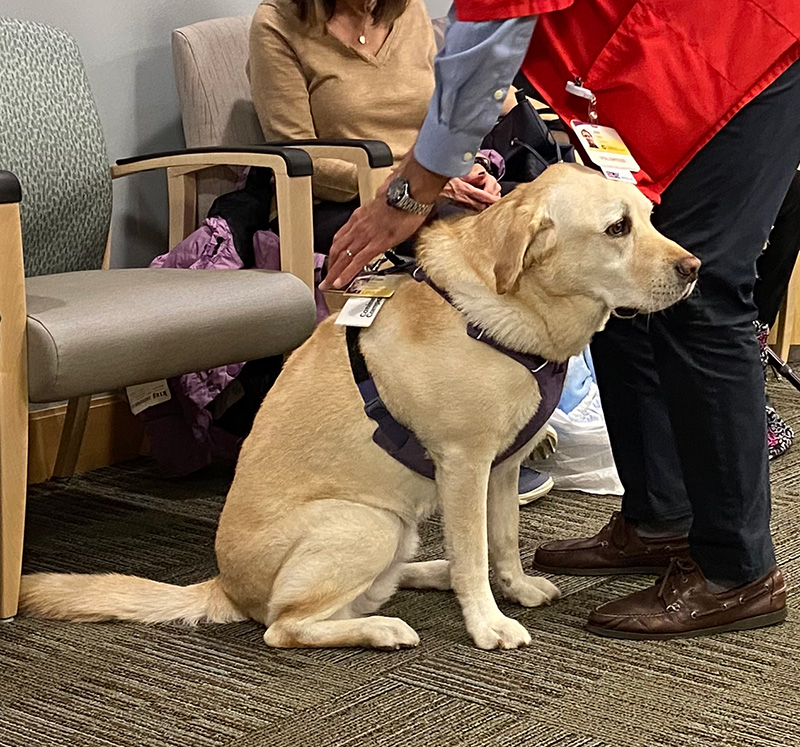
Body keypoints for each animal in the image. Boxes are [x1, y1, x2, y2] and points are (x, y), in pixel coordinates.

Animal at [17, 162, 692, 648]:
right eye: (617, 228)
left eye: (649, 217)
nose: (695, 267)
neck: (515, 310)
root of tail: (225, 587)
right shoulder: (465, 465)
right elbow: (476, 555)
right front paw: (487, 624)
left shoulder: (501, 469)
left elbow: (499, 541)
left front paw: (517, 588)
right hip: (365, 521)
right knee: (286, 626)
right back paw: (382, 627)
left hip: (397, 524)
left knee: (388, 579)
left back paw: (427, 574)